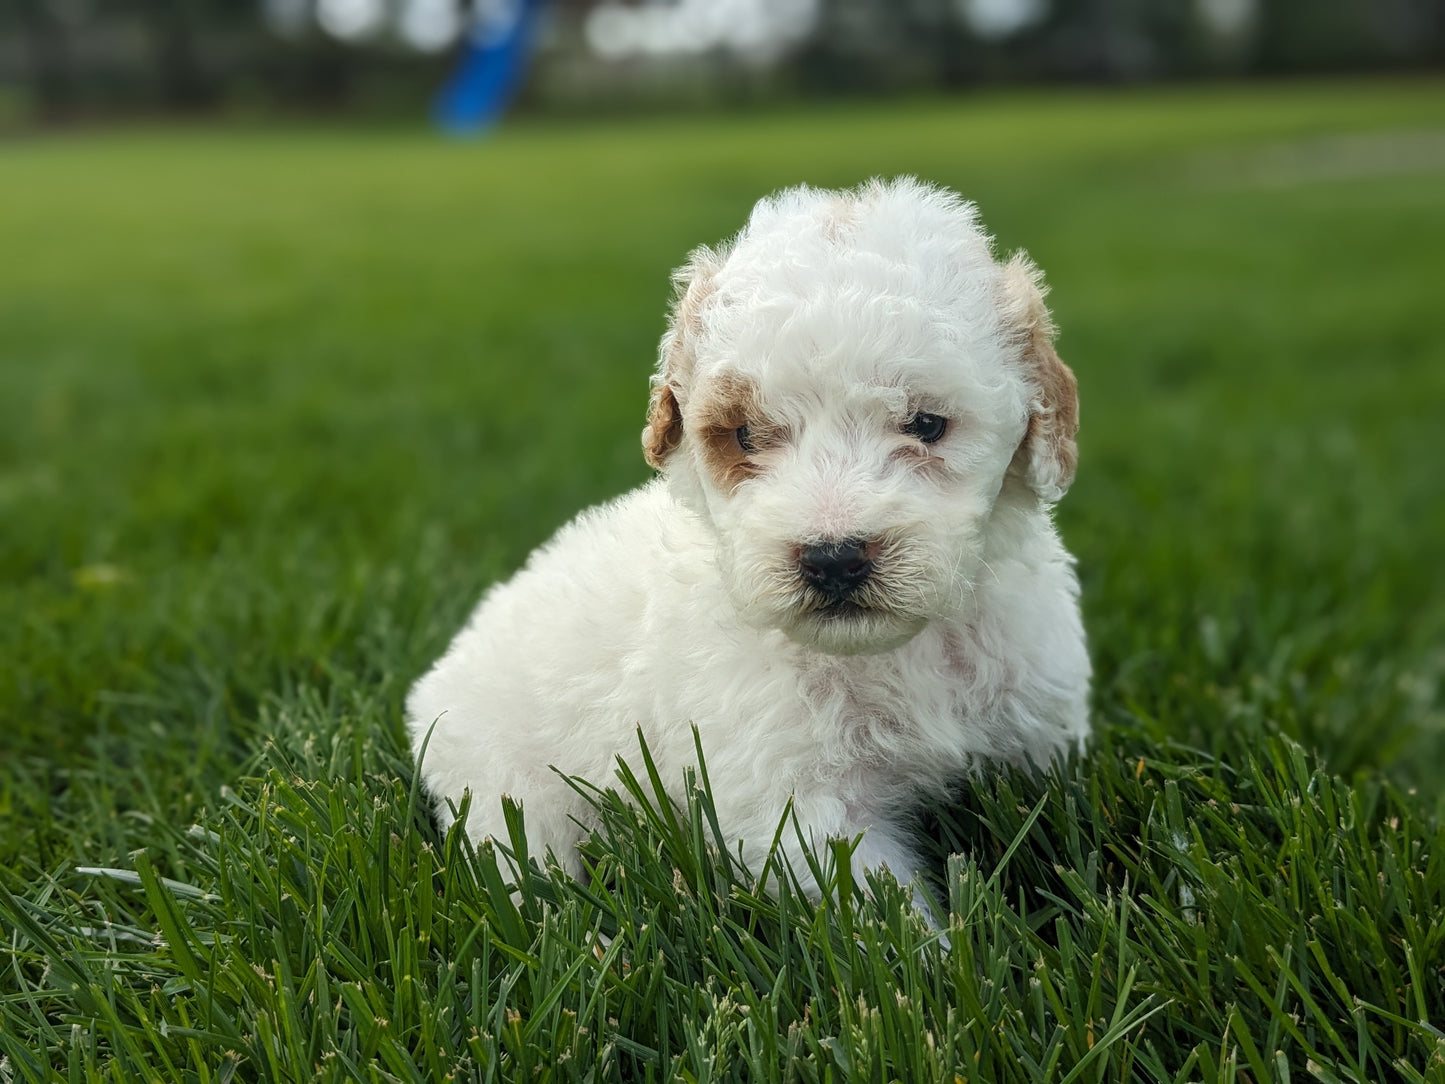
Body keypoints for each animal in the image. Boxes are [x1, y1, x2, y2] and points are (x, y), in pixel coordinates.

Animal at [404, 178, 1086, 901]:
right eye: (747, 436)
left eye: (927, 424)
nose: (833, 560)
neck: (893, 651)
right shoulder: (802, 804)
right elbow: (873, 901)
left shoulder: (1037, 732)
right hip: (502, 786)